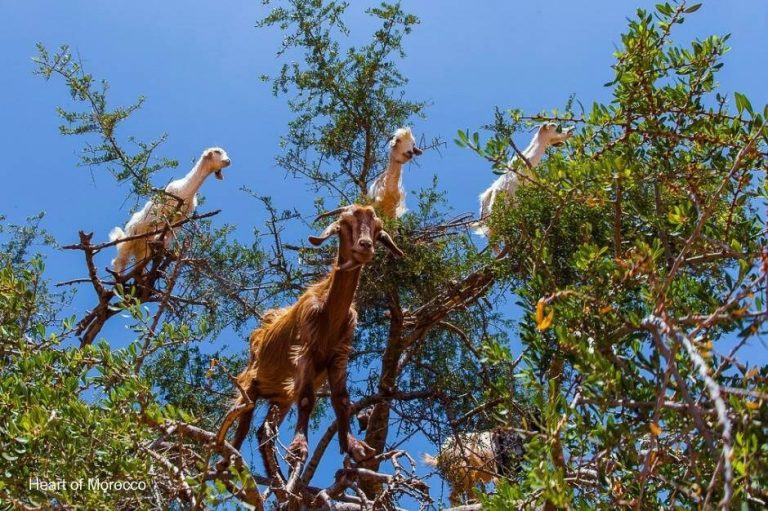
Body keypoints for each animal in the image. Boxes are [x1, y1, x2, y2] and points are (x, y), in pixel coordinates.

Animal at [225, 205, 404, 473]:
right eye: (344, 224)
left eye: (377, 229)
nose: (365, 245)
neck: (329, 313)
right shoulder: (304, 352)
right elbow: (307, 400)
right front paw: (299, 448)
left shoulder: (339, 356)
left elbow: (342, 400)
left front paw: (355, 446)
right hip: (249, 383)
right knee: (241, 423)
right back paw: (228, 459)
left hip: (281, 395)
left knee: (264, 430)